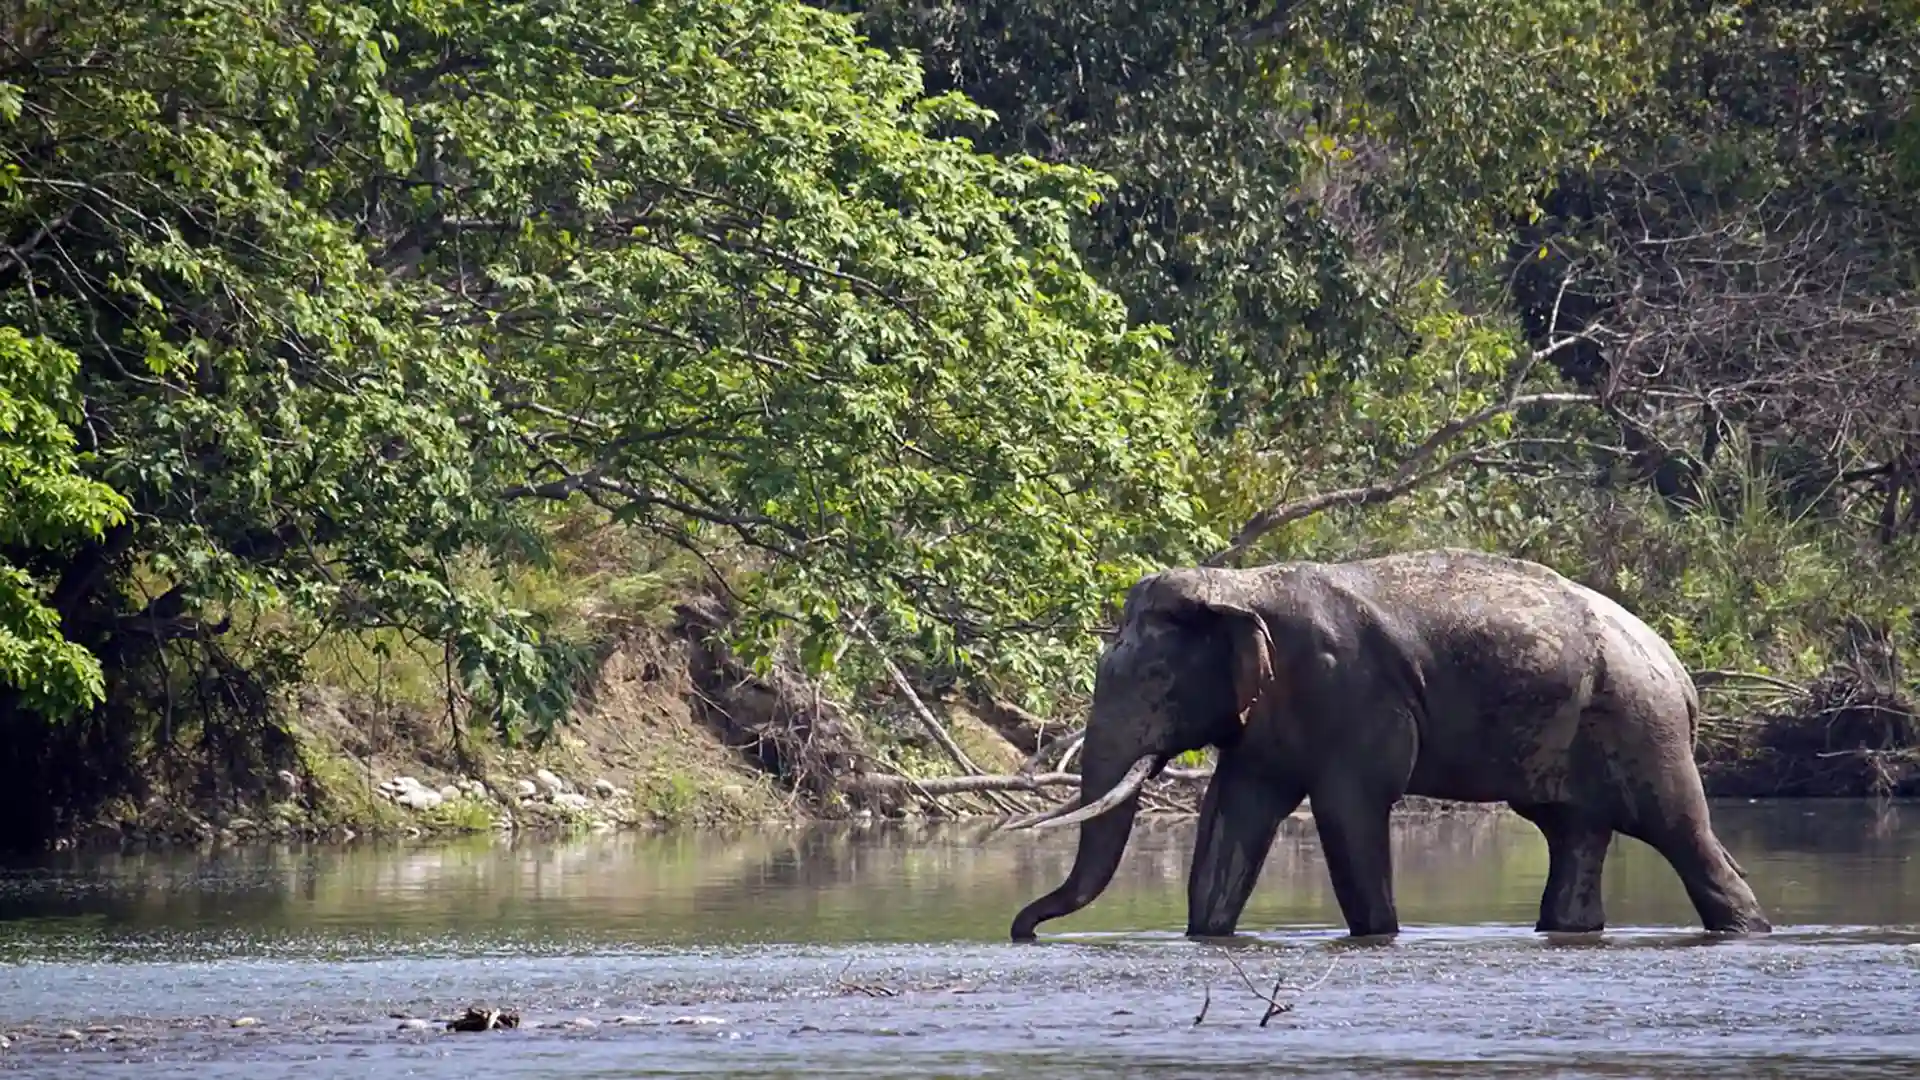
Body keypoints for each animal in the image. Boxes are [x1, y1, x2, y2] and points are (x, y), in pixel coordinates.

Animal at [1006, 545, 1766, 941]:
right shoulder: (1269, 718)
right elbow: (1232, 816)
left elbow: (1349, 812)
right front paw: (1207, 938)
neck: (1241, 584)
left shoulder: (1349, 693)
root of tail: (1682, 674)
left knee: (1681, 831)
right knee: (1574, 832)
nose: (1023, 930)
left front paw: (1377, 937)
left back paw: (1745, 929)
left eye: (1157, 680)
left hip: (1642, 725)